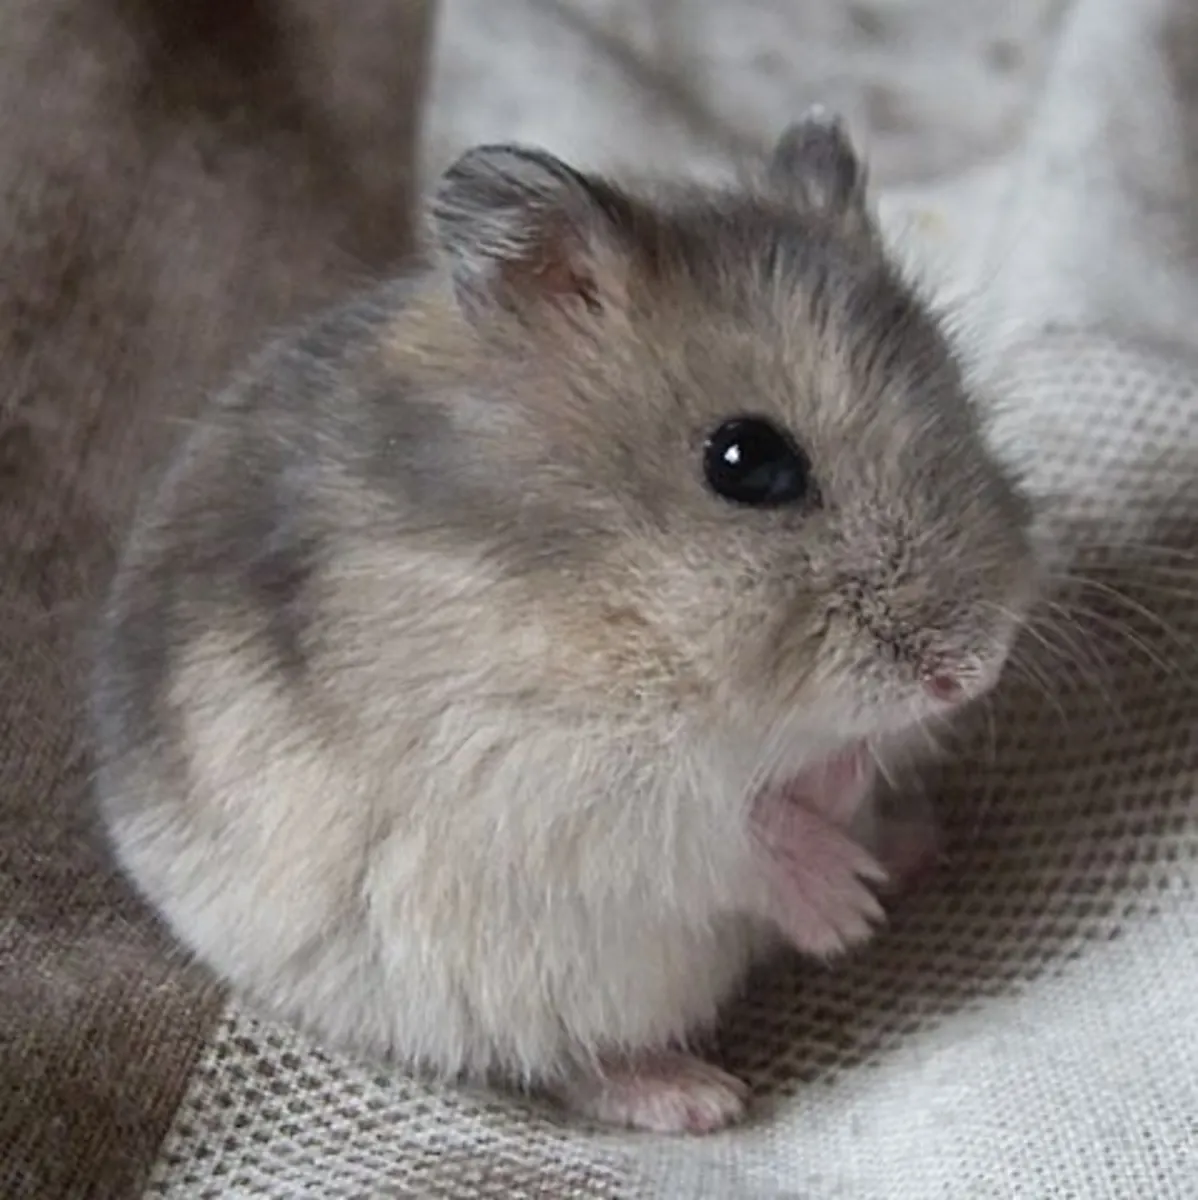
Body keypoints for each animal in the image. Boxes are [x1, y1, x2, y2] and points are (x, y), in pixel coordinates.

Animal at [89, 112, 1039, 1134]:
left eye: (960, 399)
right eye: (747, 461)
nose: (971, 671)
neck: (626, 590)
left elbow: (838, 763)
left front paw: (853, 796)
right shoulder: (552, 776)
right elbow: (729, 829)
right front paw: (848, 910)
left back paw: (911, 846)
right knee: (568, 1064)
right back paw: (699, 1096)